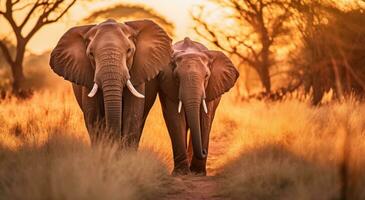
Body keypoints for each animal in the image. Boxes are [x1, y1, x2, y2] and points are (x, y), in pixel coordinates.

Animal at [157, 37, 237, 175]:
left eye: (206, 77)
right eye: (177, 77)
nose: (204, 151)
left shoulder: (210, 88)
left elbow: (205, 119)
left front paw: (198, 172)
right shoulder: (168, 85)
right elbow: (175, 118)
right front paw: (181, 172)